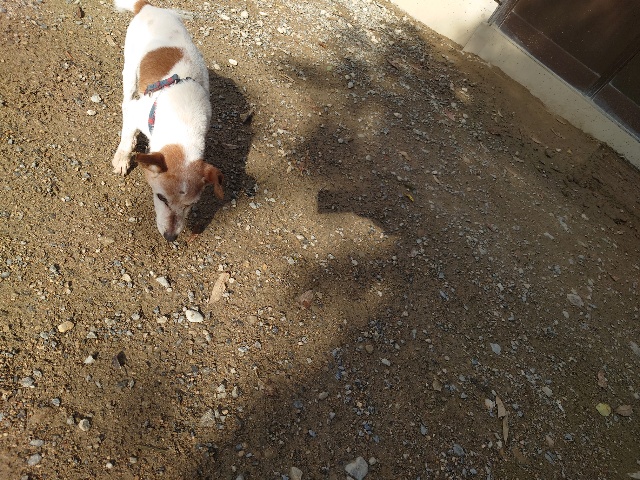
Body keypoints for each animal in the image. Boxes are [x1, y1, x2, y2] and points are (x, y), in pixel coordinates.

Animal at [112, 0, 224, 241]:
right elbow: (126, 138)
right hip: (130, 66)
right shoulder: (137, 114)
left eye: (191, 204)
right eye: (160, 197)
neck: (184, 125)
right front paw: (123, 157)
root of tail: (148, 7)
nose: (170, 237)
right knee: (127, 97)